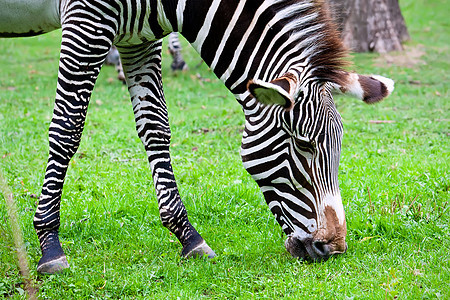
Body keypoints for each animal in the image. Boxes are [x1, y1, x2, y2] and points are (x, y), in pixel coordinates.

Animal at [0, 0, 394, 274]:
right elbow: (67, 127)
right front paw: (49, 244)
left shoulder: (137, 36)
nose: (334, 249)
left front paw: (188, 236)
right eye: (303, 145)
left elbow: (156, 126)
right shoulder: (87, 20)